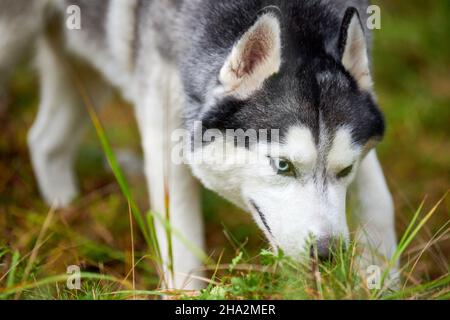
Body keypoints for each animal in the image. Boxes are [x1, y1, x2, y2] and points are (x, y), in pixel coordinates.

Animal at [0, 0, 398, 290]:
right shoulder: (164, 129)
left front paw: (383, 280)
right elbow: (180, 236)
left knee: (46, 142)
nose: (328, 253)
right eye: (282, 165)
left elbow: (379, 203)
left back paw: (64, 216)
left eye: (346, 170)